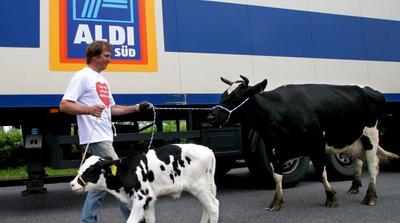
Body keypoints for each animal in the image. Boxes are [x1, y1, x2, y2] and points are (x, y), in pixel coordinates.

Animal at [69, 144, 219, 222]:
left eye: (90, 171)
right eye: (80, 169)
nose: (72, 184)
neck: (127, 170)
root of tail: (208, 150)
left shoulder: (141, 198)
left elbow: (131, 221)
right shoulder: (149, 200)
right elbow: (150, 220)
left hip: (199, 186)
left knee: (213, 206)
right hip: (205, 188)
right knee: (206, 206)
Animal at [208, 76, 398, 212]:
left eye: (236, 96)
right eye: (223, 95)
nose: (211, 116)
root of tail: (373, 91)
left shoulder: (317, 144)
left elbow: (322, 174)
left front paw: (331, 197)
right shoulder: (272, 147)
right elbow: (277, 176)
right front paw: (276, 202)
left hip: (371, 135)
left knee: (373, 165)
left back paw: (370, 197)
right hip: (354, 139)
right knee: (359, 160)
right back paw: (354, 187)